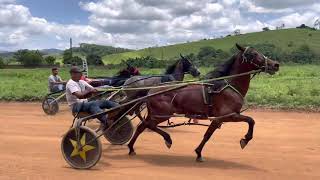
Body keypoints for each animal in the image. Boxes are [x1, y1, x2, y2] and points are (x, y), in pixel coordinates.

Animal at [127, 43, 280, 162]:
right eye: (254, 54)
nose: (275, 65)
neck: (227, 85)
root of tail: (150, 91)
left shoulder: (218, 119)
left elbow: (208, 135)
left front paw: (198, 153)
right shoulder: (228, 115)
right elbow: (250, 120)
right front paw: (245, 139)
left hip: (156, 114)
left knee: (142, 126)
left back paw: (131, 148)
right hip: (162, 114)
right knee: (148, 125)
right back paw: (167, 138)